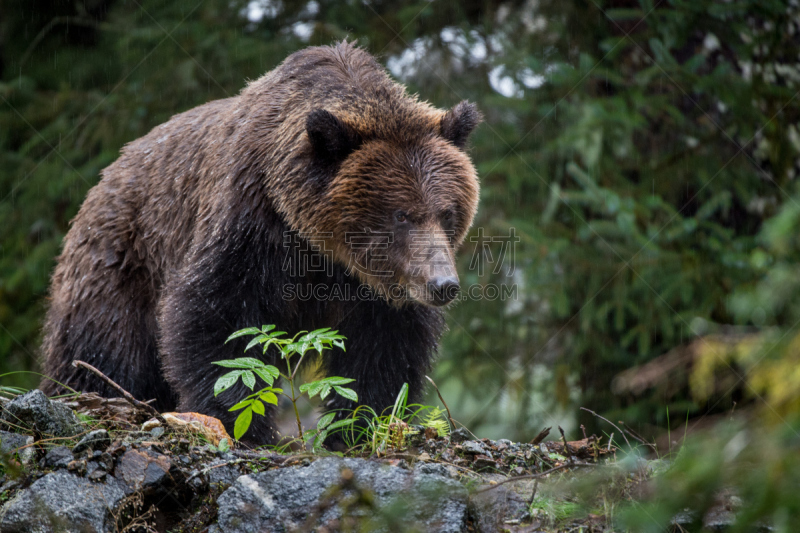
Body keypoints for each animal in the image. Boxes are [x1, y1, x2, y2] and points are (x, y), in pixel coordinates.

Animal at [42, 41, 482, 442]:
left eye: (447, 212)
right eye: (400, 214)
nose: (442, 284)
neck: (320, 244)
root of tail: (105, 176)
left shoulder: (376, 285)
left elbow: (385, 348)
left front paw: (356, 425)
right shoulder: (251, 222)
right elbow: (219, 319)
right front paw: (243, 422)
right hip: (120, 263)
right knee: (102, 349)